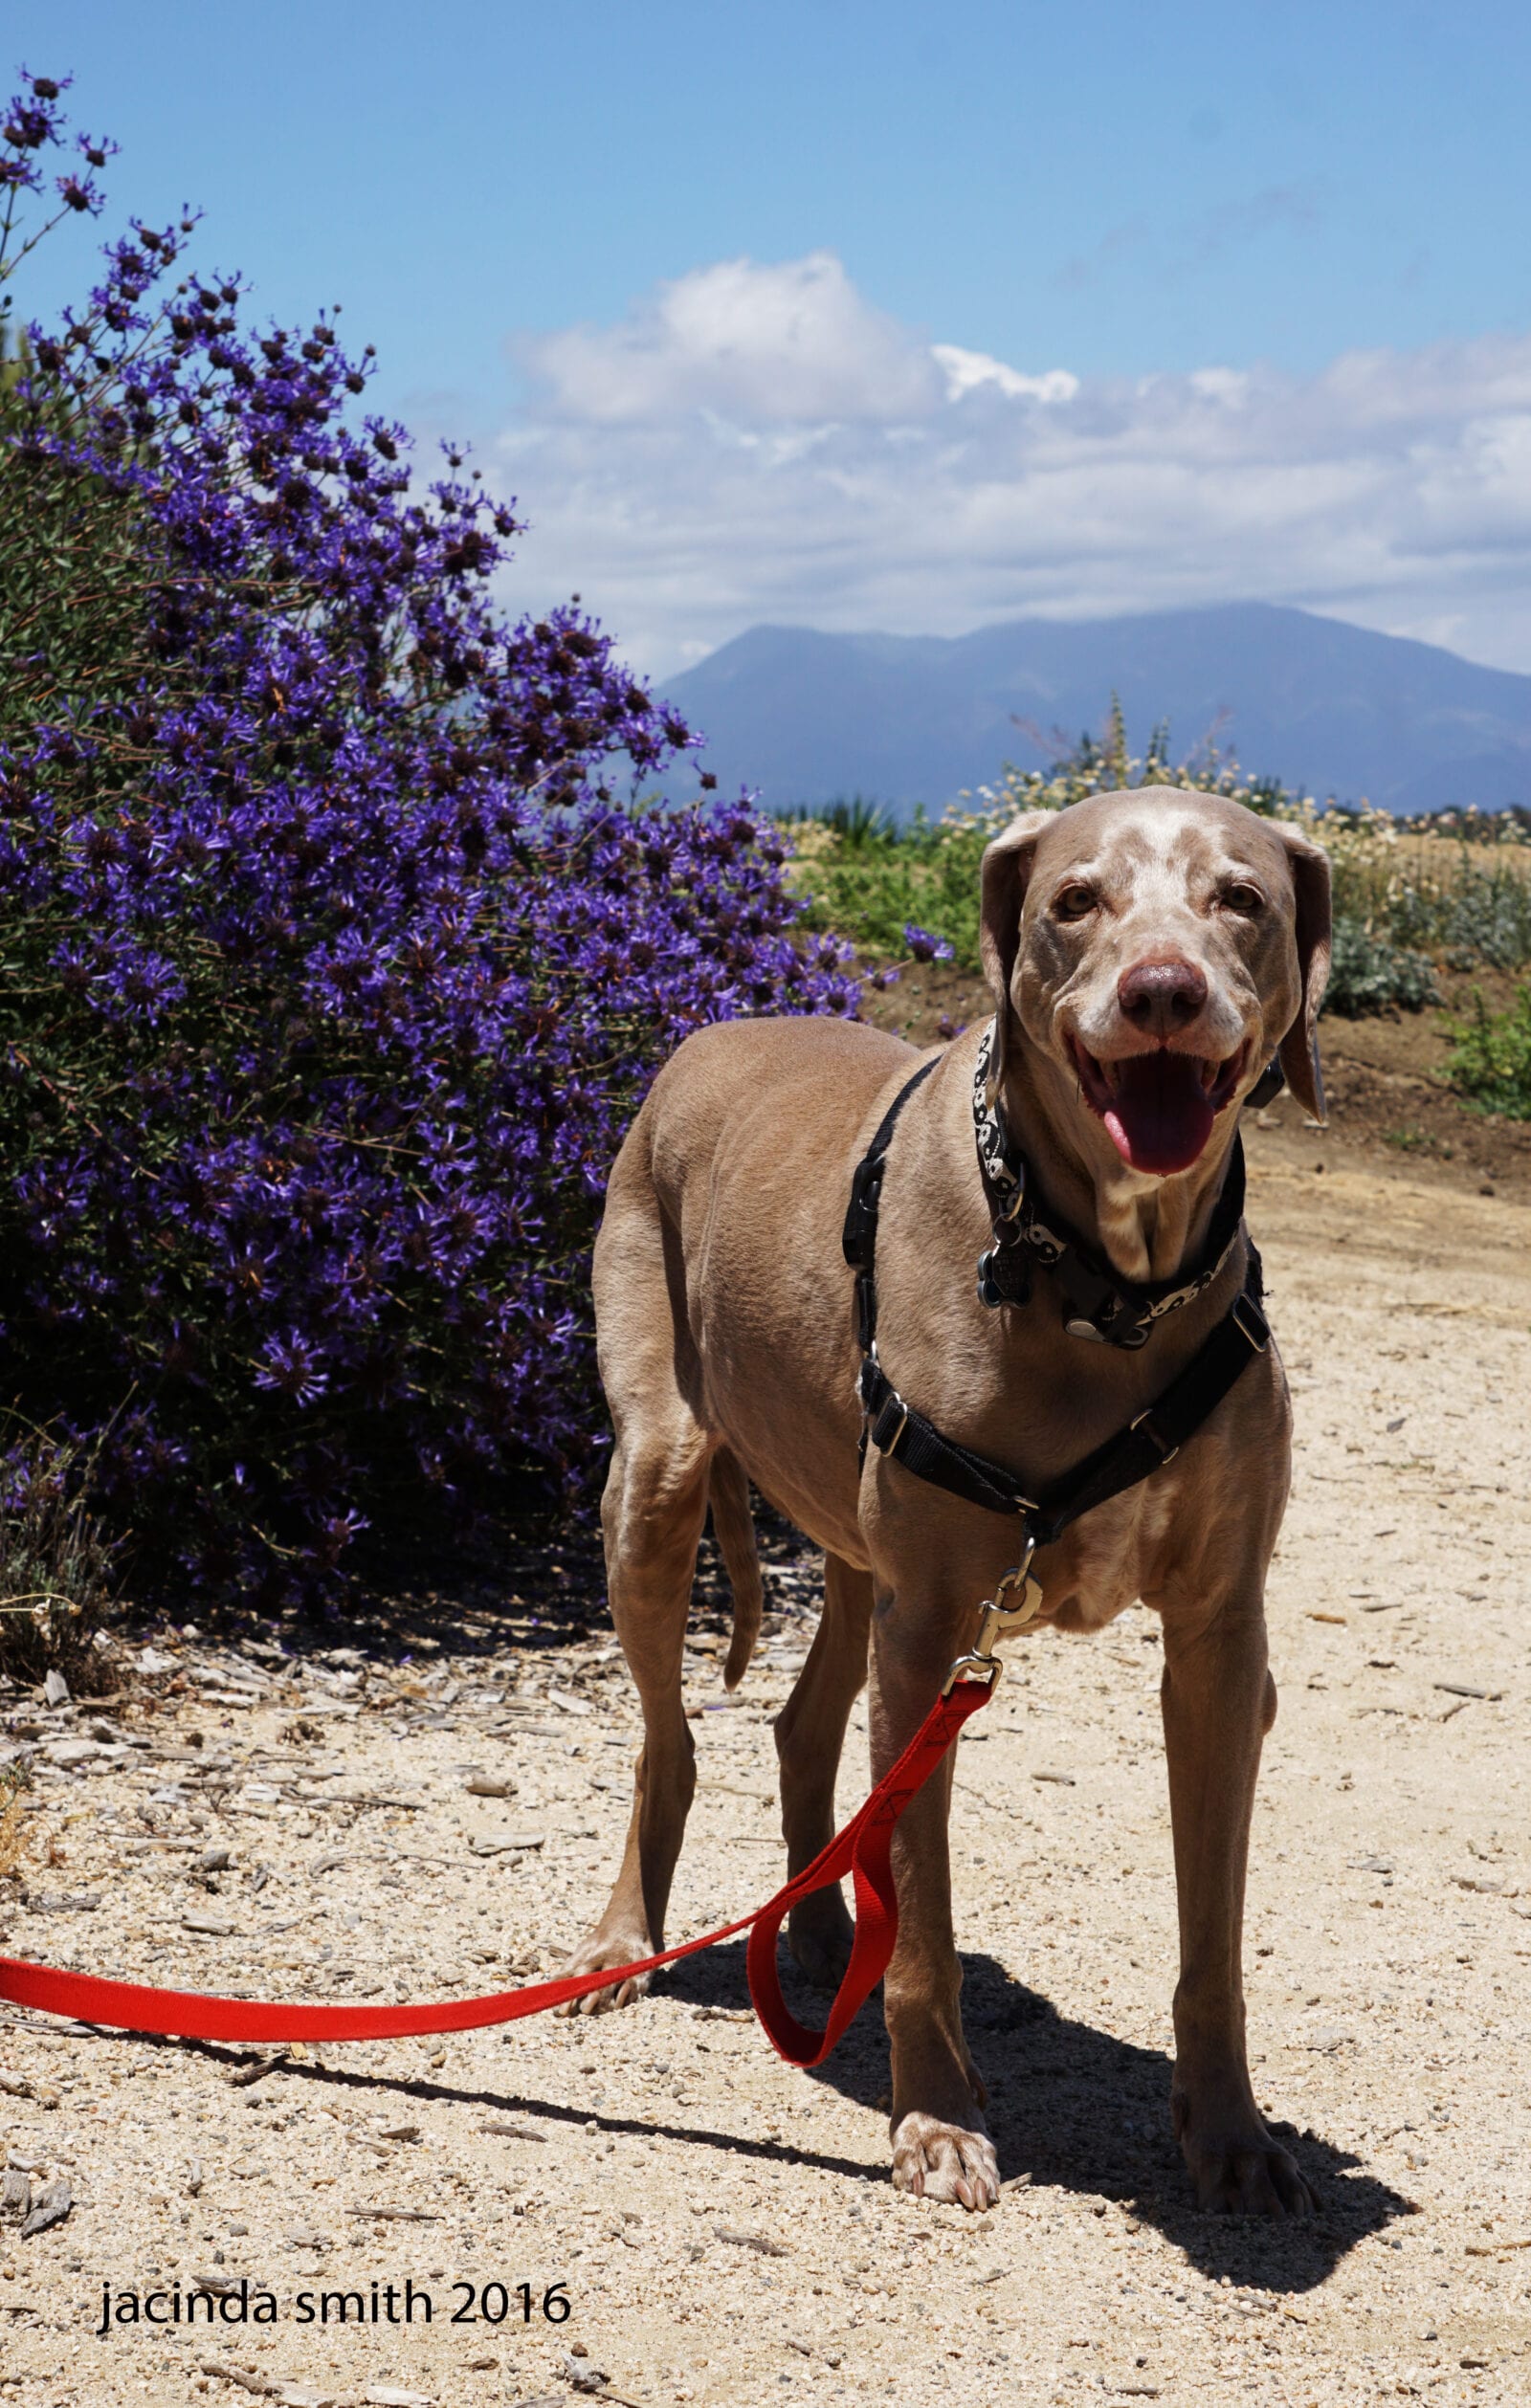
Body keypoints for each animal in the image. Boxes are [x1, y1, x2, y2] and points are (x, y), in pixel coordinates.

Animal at [558, 789, 1328, 2215]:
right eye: (1074, 900)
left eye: (1241, 898)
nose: (1162, 992)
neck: (1102, 1287)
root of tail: (716, 1029)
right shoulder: (932, 1637)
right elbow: (922, 1913)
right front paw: (934, 2120)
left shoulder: (1218, 1643)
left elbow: (1213, 1934)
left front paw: (1233, 2132)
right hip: (661, 1469)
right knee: (669, 1741)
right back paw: (624, 1938)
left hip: (849, 1532)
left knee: (805, 1726)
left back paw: (812, 1927)